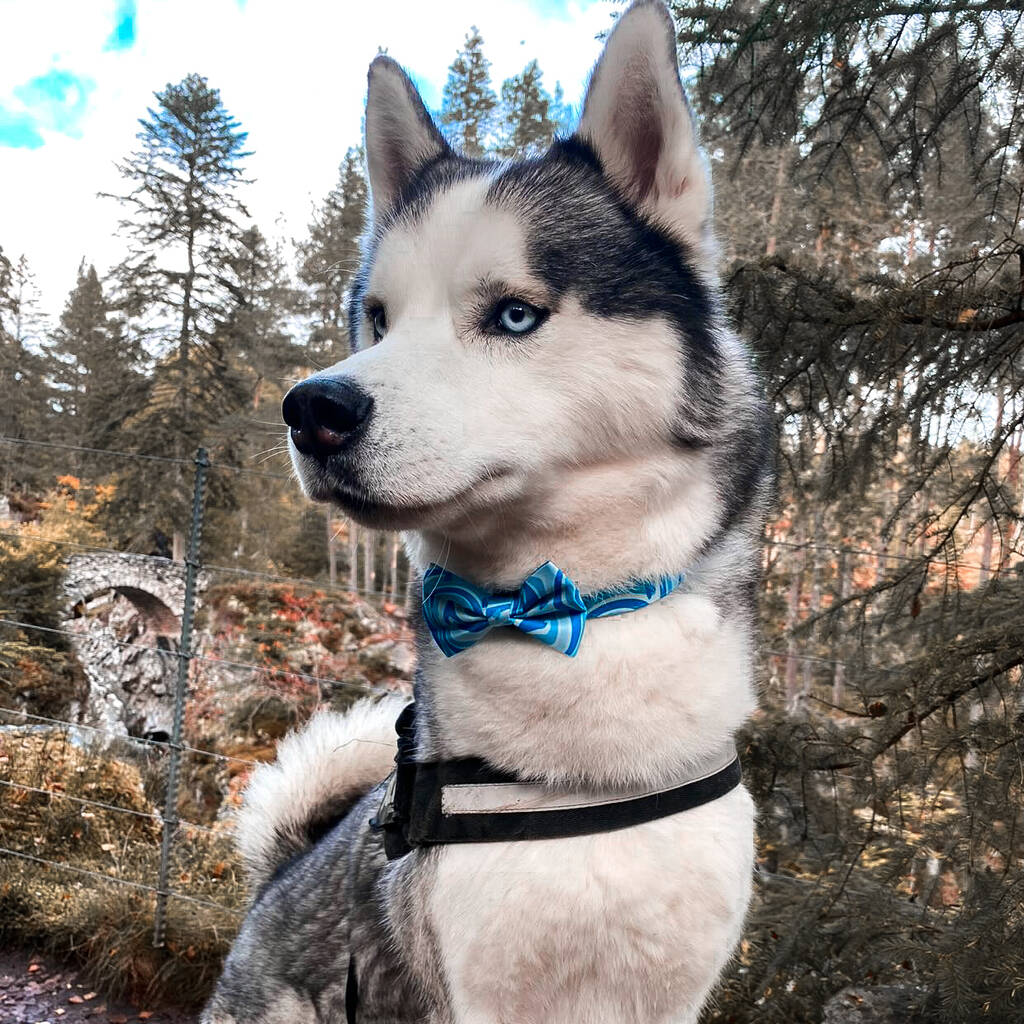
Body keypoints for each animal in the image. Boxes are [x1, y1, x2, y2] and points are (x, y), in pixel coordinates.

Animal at [205, 4, 770, 1019]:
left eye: (513, 315)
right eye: (378, 319)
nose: (312, 409)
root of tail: (280, 874)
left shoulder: (675, 991)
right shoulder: (485, 992)